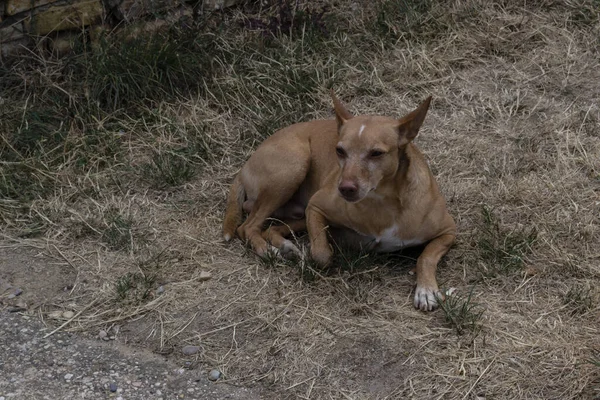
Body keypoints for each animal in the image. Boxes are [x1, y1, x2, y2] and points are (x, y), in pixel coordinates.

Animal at [224, 92, 454, 310]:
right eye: (340, 150)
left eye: (376, 153)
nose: (345, 188)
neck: (382, 202)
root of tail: (245, 165)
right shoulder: (316, 206)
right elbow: (321, 254)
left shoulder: (449, 232)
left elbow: (426, 256)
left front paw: (426, 290)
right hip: (294, 166)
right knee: (247, 226)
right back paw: (268, 251)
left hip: (298, 208)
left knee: (270, 227)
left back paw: (285, 246)